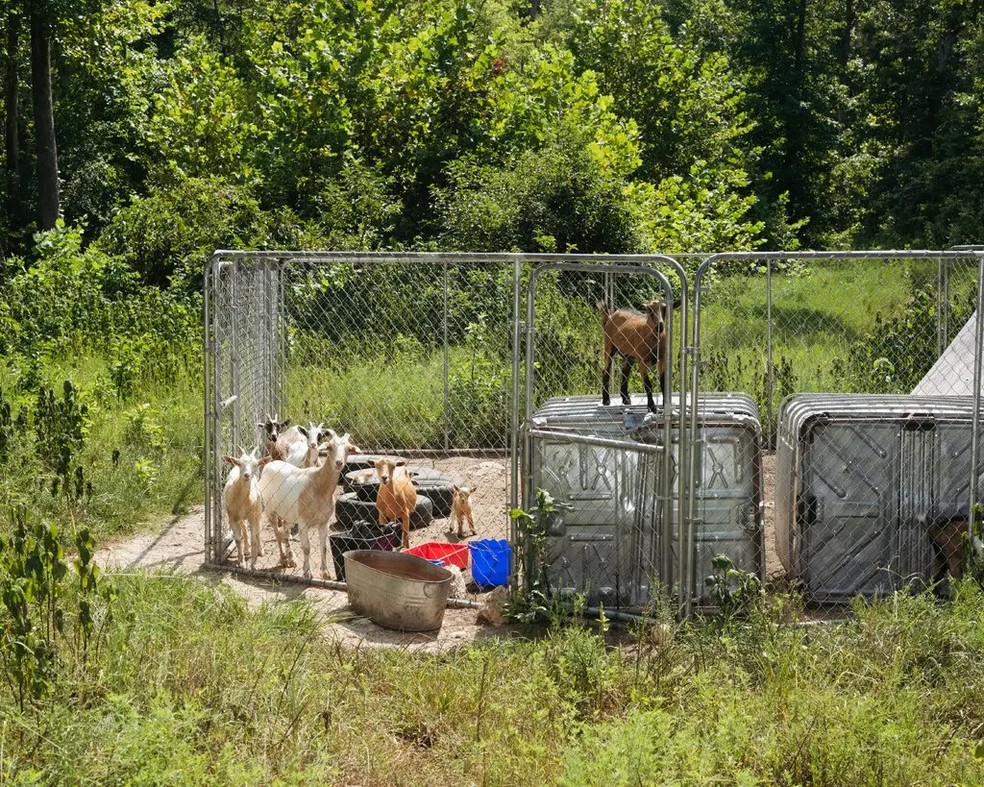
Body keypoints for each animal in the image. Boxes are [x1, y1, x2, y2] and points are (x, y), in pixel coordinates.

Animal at [258, 430, 360, 578]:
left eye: (348, 449)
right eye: (329, 447)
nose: (339, 463)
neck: (318, 486)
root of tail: (270, 464)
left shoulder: (324, 522)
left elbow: (324, 547)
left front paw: (325, 573)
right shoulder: (303, 522)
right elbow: (306, 548)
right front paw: (307, 572)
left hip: (289, 514)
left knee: (285, 531)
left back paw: (291, 559)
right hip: (270, 511)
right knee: (277, 533)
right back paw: (283, 559)